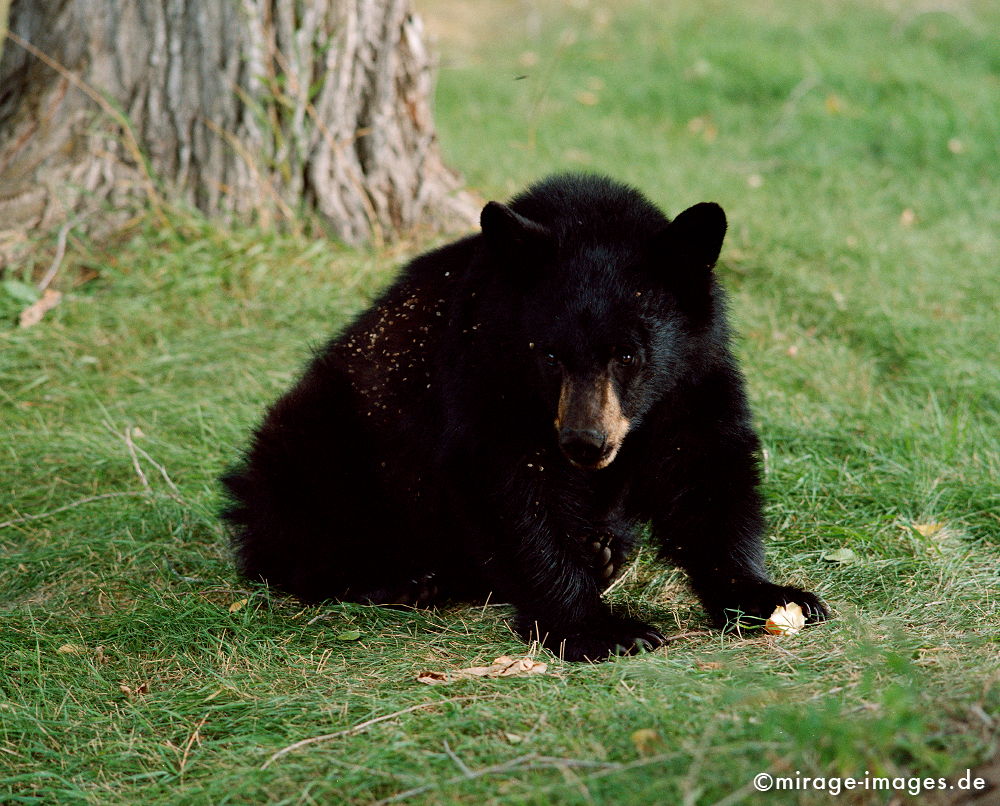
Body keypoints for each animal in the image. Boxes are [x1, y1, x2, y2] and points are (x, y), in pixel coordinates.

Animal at [221, 174, 828, 660]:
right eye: (550, 354)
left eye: (628, 355)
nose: (585, 443)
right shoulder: (485, 368)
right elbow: (513, 486)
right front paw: (605, 629)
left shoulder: (695, 373)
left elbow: (705, 469)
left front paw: (773, 597)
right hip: (322, 433)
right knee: (296, 515)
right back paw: (398, 580)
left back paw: (603, 550)